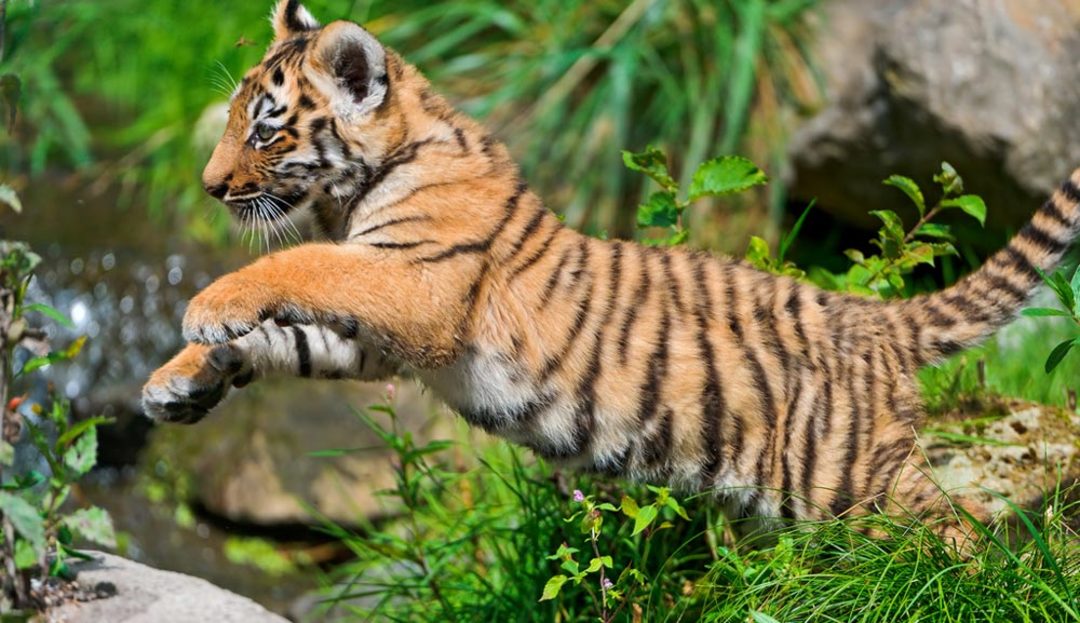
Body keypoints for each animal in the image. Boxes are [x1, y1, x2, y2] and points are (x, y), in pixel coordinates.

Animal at [142, 0, 1080, 542]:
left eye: (264, 129)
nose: (209, 185)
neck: (359, 187)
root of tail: (878, 316)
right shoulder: (385, 338)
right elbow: (285, 336)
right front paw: (178, 381)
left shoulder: (414, 286)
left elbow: (301, 264)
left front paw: (205, 306)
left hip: (851, 478)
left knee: (960, 533)